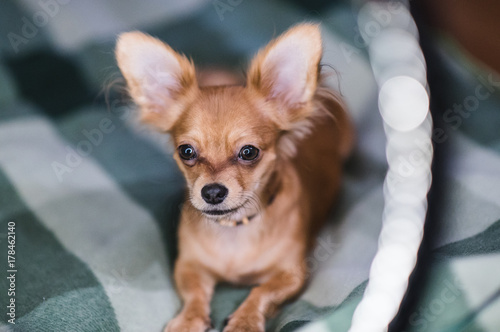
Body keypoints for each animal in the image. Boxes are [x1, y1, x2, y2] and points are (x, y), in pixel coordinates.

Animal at [115, 23, 354, 332]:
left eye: (249, 152)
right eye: (186, 151)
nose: (212, 192)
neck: (234, 228)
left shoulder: (293, 274)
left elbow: (262, 291)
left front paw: (245, 321)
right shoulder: (188, 265)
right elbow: (194, 293)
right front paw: (188, 320)